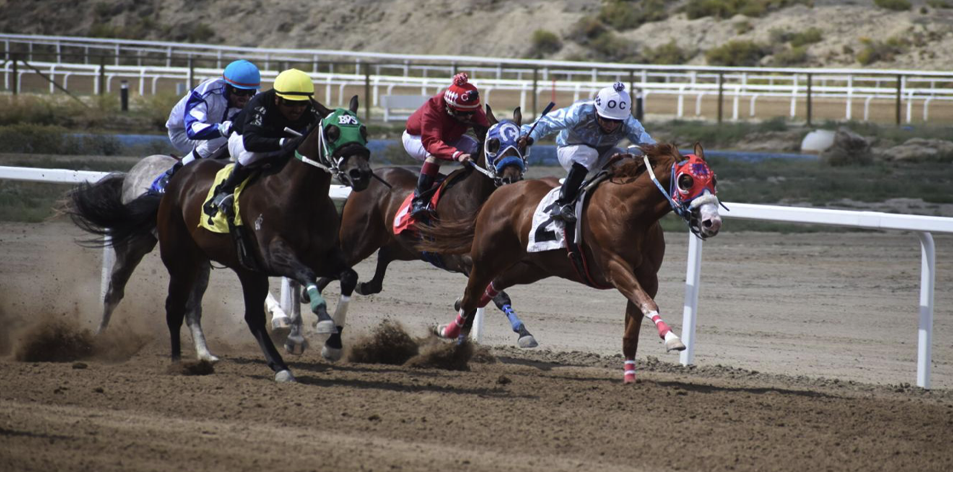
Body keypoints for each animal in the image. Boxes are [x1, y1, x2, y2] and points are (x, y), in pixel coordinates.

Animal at [68, 96, 375, 382]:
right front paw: (317, 321)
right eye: (332, 132)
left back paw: (232, 359)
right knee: (137, 296)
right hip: (163, 253)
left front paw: (330, 343)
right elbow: (305, 275)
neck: (298, 194)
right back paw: (130, 347)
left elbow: (346, 276)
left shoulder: (322, 255)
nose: (360, 173)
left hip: (217, 265)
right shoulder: (275, 254)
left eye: (363, 130)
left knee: (221, 313)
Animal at [314, 105, 538, 348]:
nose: (511, 179)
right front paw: (523, 332)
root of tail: (367, 179)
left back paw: (361, 288)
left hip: (407, 246)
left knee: (383, 259)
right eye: (493, 144)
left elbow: (480, 297)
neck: (473, 199)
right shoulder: (466, 260)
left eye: (523, 143)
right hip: (358, 242)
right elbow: (494, 295)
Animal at [418, 143, 723, 383]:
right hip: (485, 257)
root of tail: (500, 192)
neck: (629, 211)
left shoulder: (648, 276)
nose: (712, 222)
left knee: (492, 286)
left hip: (533, 266)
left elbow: (633, 327)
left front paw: (629, 375)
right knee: (473, 294)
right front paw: (672, 339)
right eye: (685, 181)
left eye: (714, 179)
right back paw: (449, 329)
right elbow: (648, 303)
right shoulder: (614, 267)